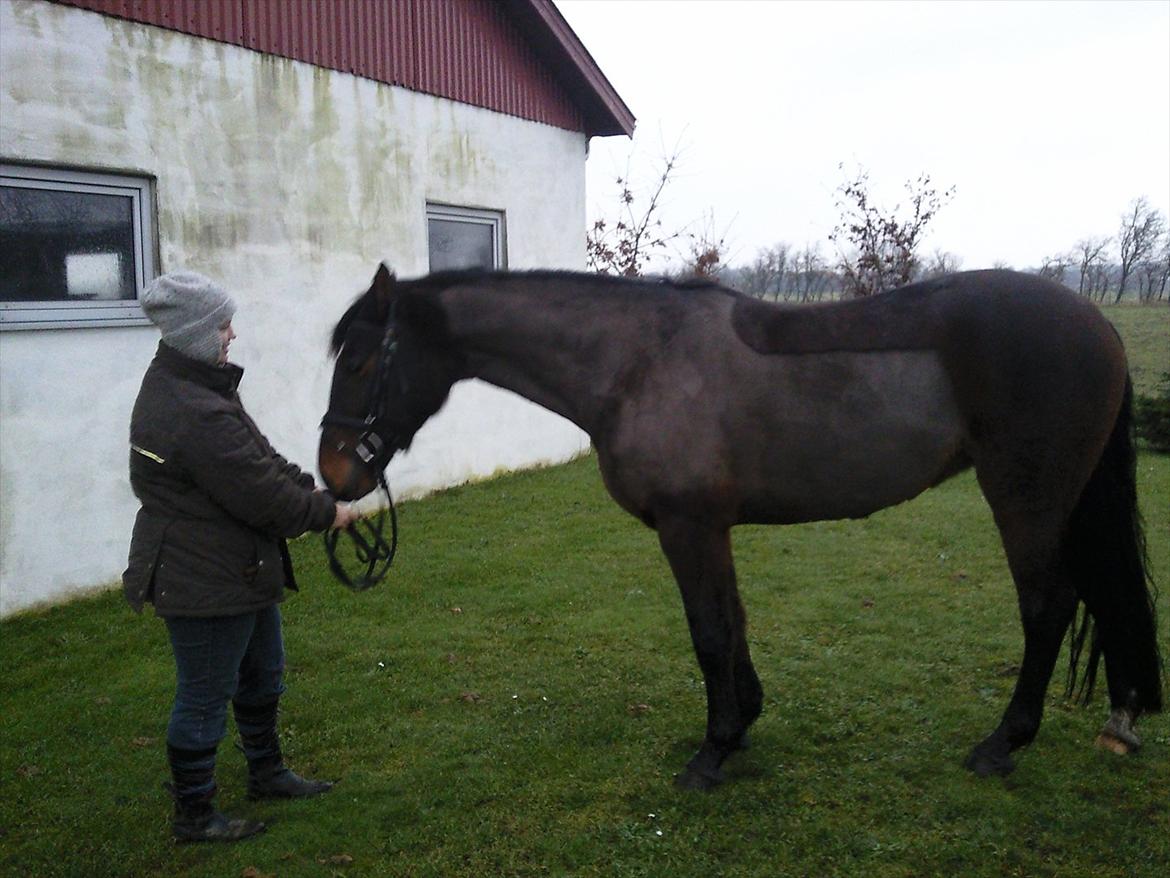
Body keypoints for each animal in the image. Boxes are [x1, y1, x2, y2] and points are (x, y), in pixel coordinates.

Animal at [313, 266, 1160, 791]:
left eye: (359, 361)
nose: (334, 476)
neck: (637, 362)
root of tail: (1100, 328)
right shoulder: (711, 527)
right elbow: (735, 622)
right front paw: (743, 726)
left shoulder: (687, 527)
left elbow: (710, 632)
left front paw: (711, 753)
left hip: (1026, 501)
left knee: (1048, 608)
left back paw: (1002, 745)